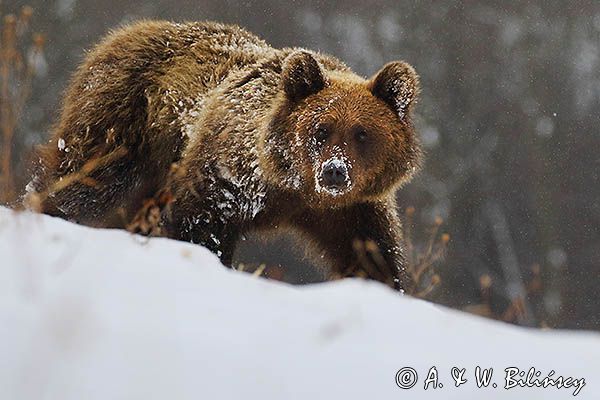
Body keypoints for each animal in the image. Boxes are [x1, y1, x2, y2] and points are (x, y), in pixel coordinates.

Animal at [28, 21, 422, 290]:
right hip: (122, 124)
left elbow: (371, 256)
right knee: (82, 180)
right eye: (320, 129)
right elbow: (200, 225)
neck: (291, 187)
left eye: (362, 134)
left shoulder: (352, 209)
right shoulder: (227, 177)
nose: (334, 171)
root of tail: (125, 32)